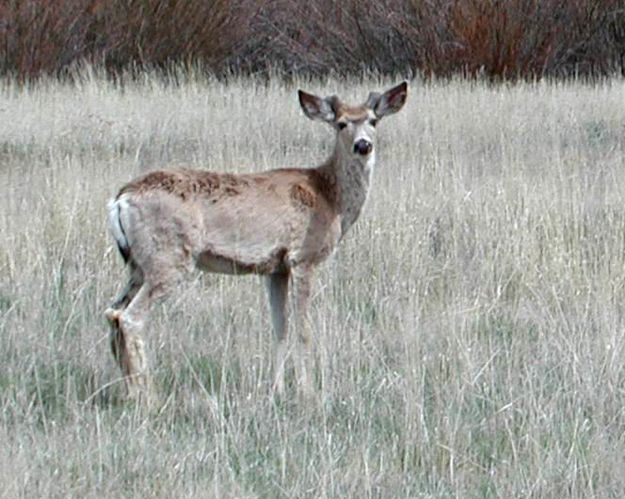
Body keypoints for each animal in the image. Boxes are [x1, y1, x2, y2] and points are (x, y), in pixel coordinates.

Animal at [105, 83, 408, 402]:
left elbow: (279, 327)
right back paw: (148, 396)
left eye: (373, 121)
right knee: (130, 317)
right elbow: (302, 329)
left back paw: (129, 390)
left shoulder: (276, 268)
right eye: (341, 124)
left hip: (137, 265)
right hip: (169, 257)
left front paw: (277, 388)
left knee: (112, 312)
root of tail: (120, 199)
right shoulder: (303, 257)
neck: (330, 197)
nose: (363, 145)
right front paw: (307, 391)